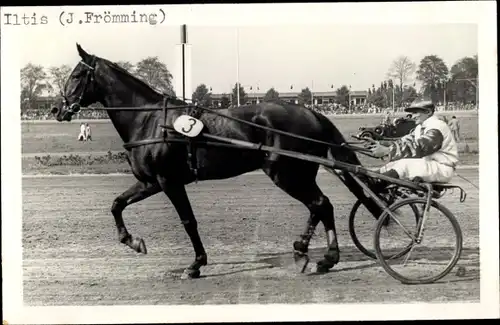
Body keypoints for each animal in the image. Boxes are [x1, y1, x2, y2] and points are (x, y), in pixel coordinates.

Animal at [51, 43, 382, 278]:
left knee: (320, 204)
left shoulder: (169, 181)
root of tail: (311, 112)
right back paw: (320, 256)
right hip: (299, 173)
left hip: (286, 173)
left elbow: (188, 221)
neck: (150, 120)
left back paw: (311, 253)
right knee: (321, 206)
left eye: (77, 75)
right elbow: (117, 204)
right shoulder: (149, 181)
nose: (57, 109)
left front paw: (195, 264)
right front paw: (133, 241)